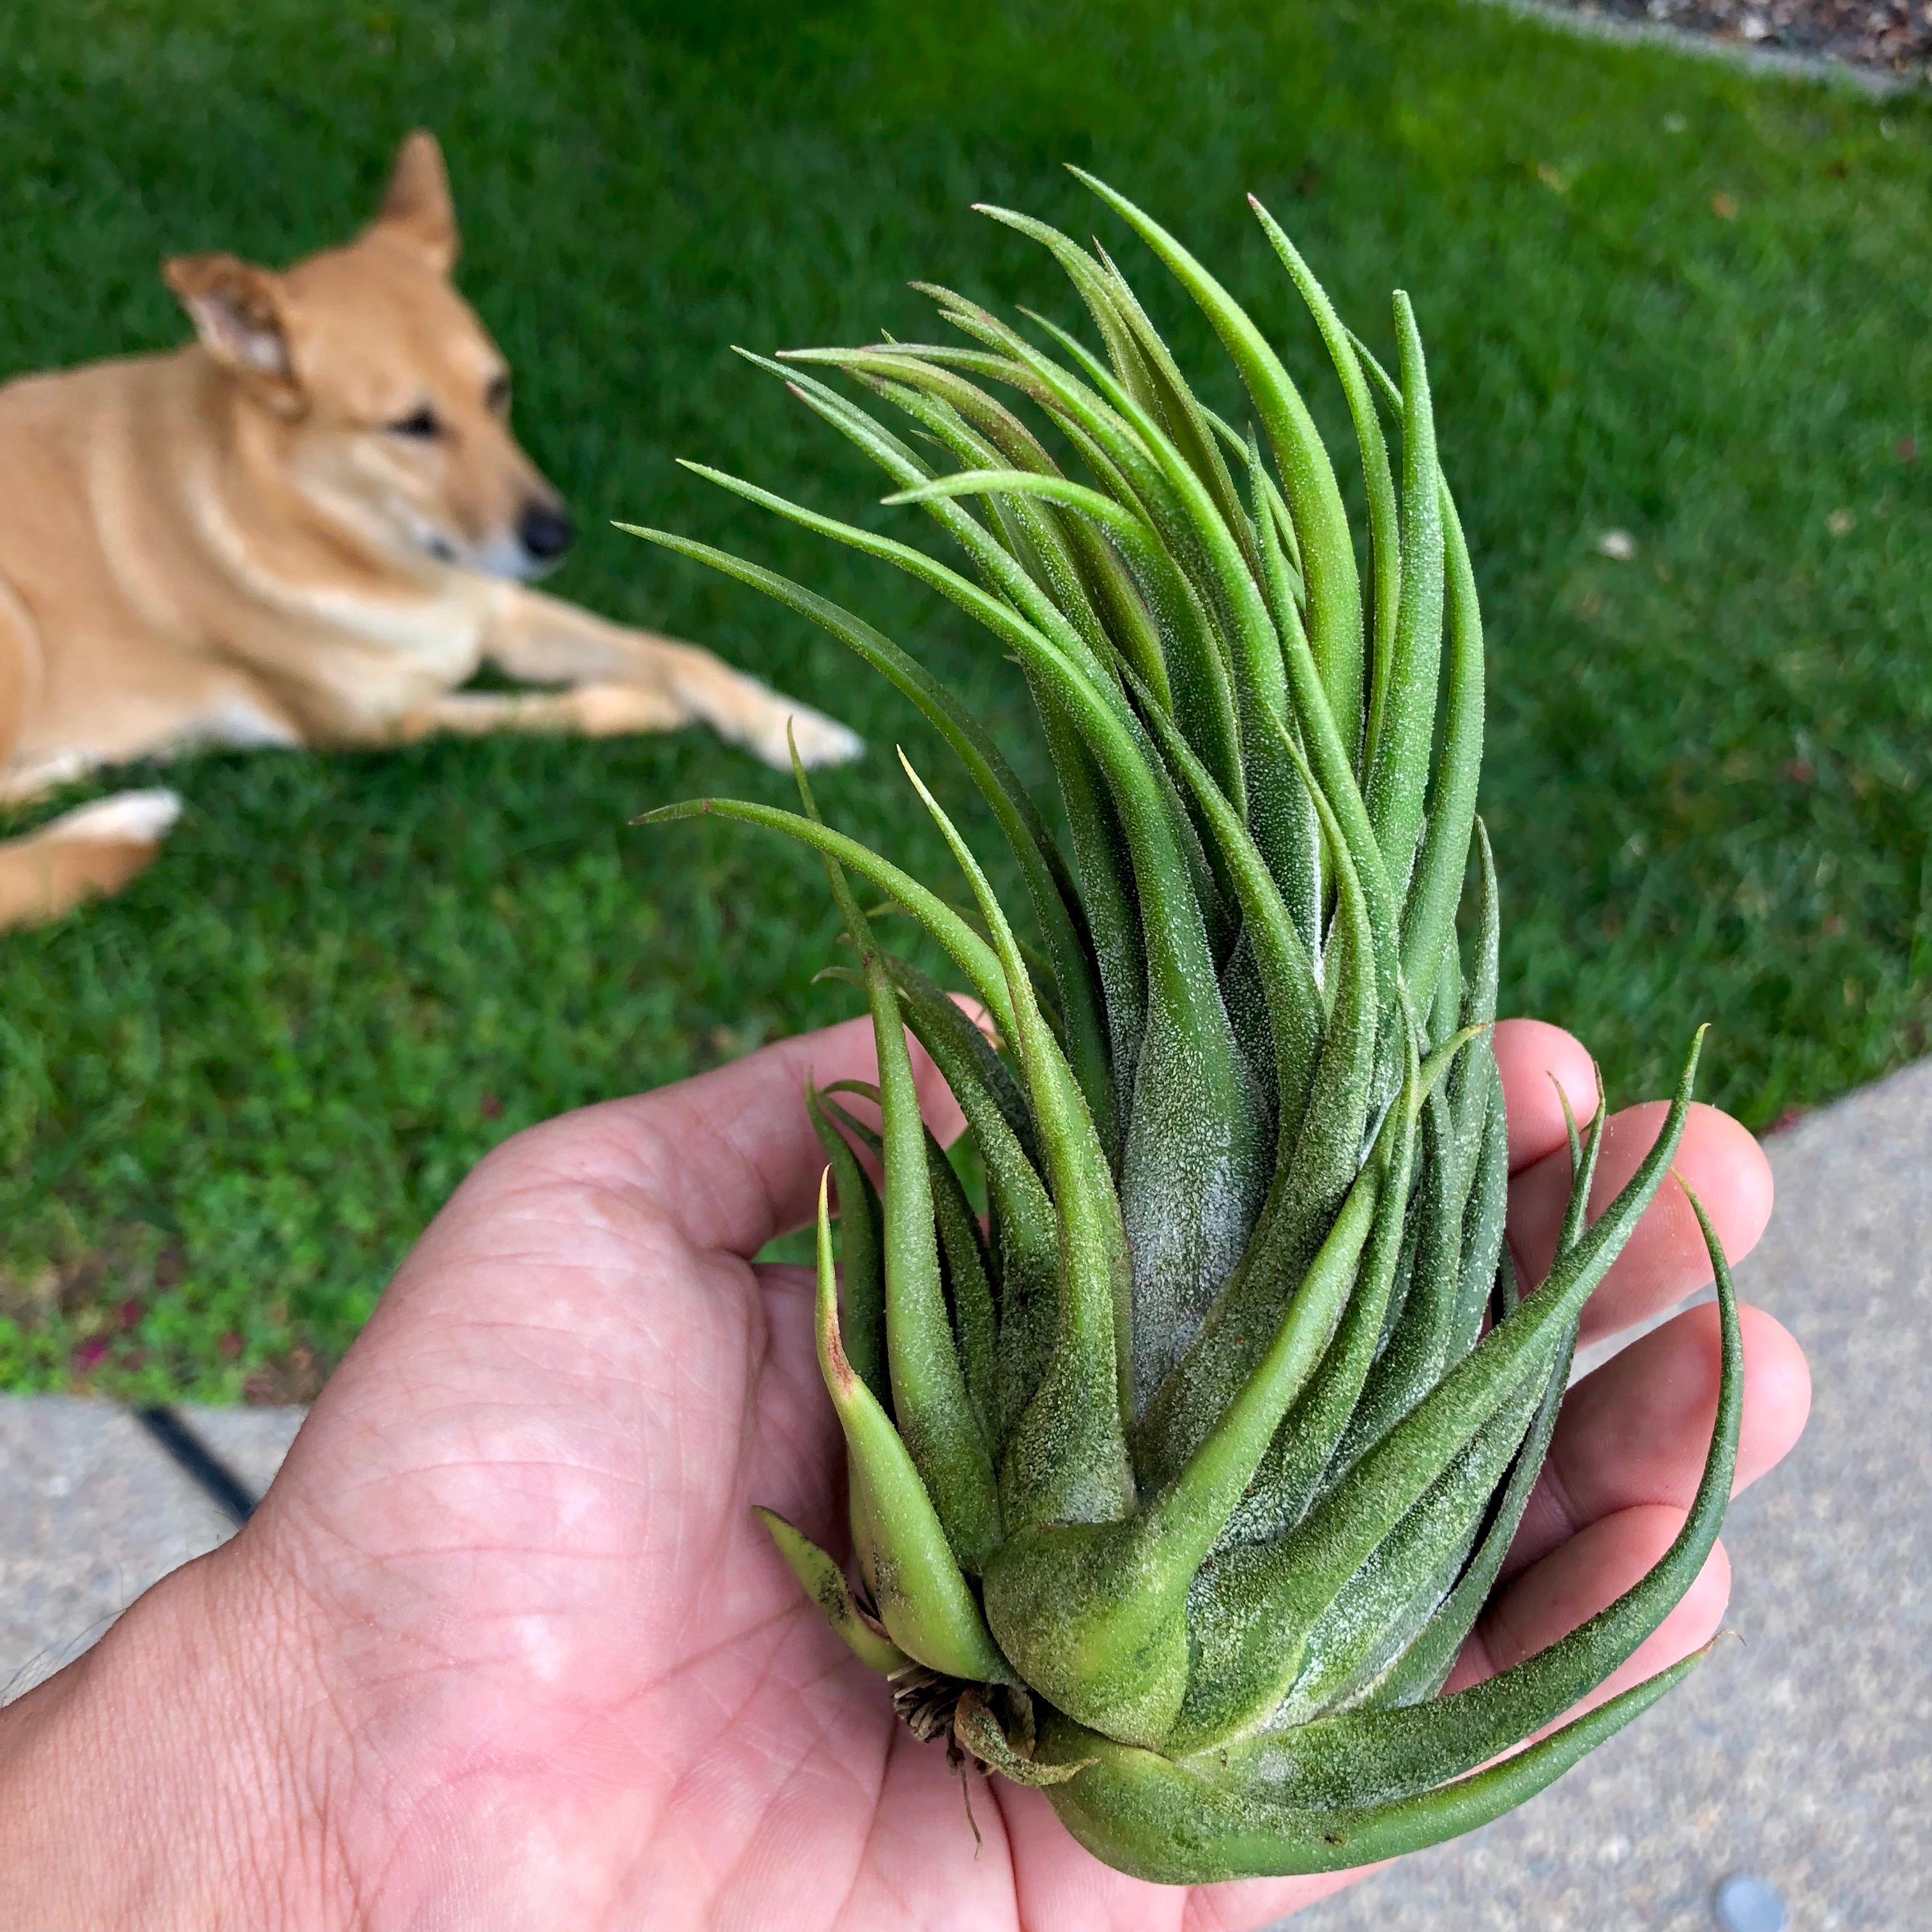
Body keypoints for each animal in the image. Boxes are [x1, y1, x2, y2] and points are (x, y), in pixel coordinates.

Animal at [0, 132, 861, 931]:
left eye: (497, 389)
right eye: (411, 426)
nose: (555, 536)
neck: (353, 545)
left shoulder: (502, 611)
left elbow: (679, 653)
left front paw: (795, 726)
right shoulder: (375, 727)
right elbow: (549, 711)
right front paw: (644, 709)